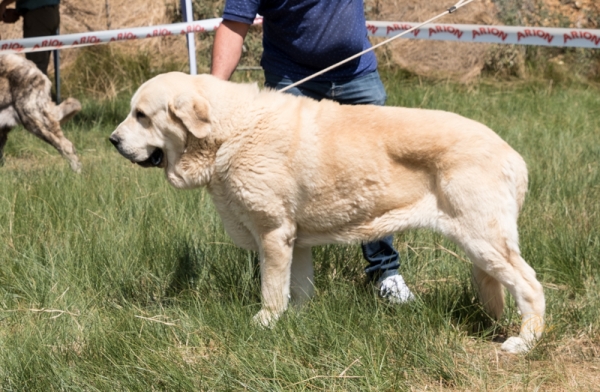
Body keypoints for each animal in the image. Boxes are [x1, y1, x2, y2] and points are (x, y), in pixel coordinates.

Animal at [109, 72, 544, 354]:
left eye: (142, 115)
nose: (112, 140)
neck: (228, 132)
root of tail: (513, 154)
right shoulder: (295, 241)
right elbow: (298, 288)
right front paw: (297, 320)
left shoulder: (272, 233)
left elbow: (271, 289)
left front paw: (265, 323)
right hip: (477, 244)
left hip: (484, 239)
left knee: (530, 286)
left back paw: (525, 341)